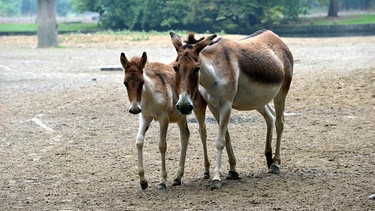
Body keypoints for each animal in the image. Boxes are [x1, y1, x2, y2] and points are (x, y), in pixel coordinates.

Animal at [120, 51, 209, 190]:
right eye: (125, 83)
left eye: (141, 82)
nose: (134, 109)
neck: (151, 95)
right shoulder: (145, 117)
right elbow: (139, 141)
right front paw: (143, 181)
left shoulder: (163, 118)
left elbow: (162, 145)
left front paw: (162, 181)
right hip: (181, 116)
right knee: (185, 136)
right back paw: (178, 177)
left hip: (199, 109)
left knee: (202, 132)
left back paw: (206, 171)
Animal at [172, 29, 296, 188]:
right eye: (175, 67)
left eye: (197, 68)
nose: (183, 105)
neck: (214, 72)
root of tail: (275, 37)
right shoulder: (213, 106)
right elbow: (226, 137)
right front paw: (232, 171)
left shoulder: (226, 105)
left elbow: (220, 141)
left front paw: (216, 178)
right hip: (257, 100)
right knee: (271, 117)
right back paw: (269, 158)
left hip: (281, 94)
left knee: (280, 123)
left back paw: (275, 164)